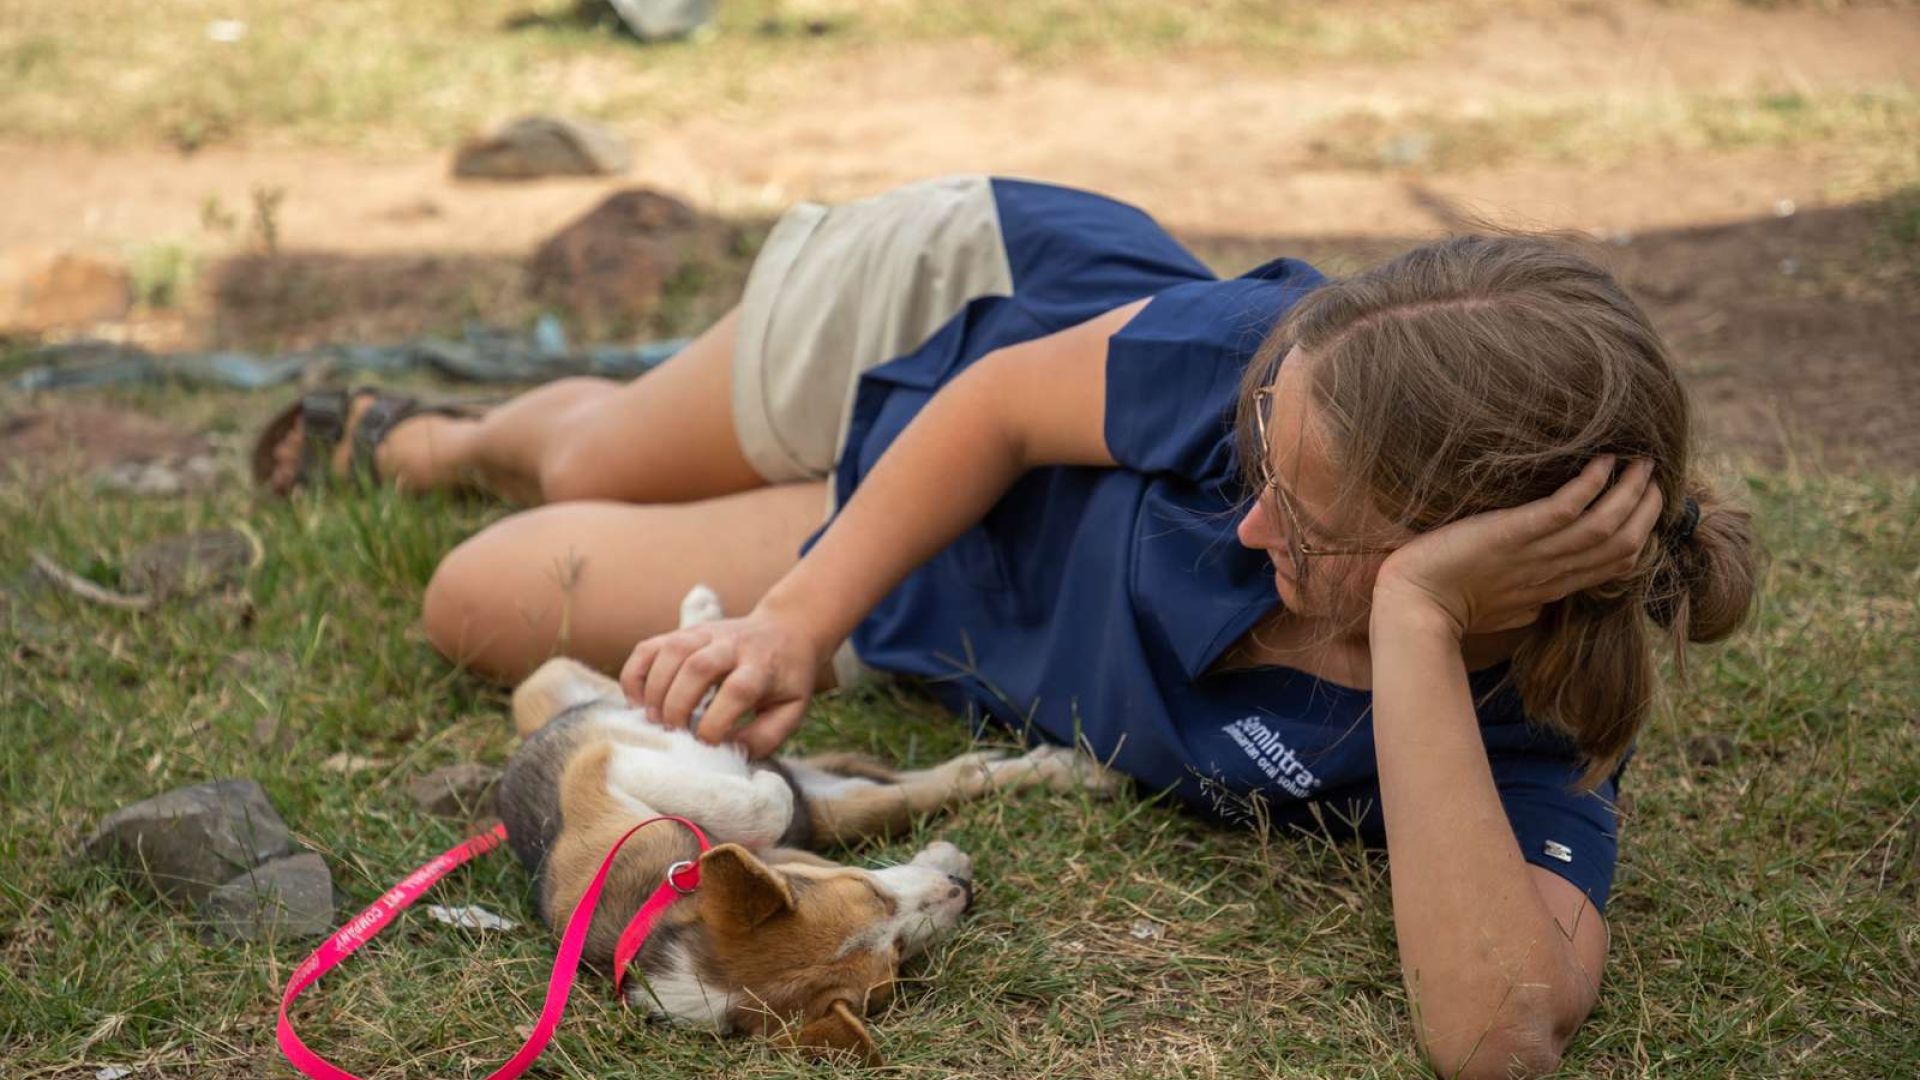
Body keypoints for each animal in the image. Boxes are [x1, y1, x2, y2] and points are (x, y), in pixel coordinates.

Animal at [503, 584, 1121, 1053]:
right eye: (895, 959)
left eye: (866, 888)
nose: (962, 893)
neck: (659, 903)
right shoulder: (605, 774)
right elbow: (770, 802)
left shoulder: (599, 769)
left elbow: (755, 798)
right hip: (838, 807)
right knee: (939, 784)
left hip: (551, 683)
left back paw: (702, 632)